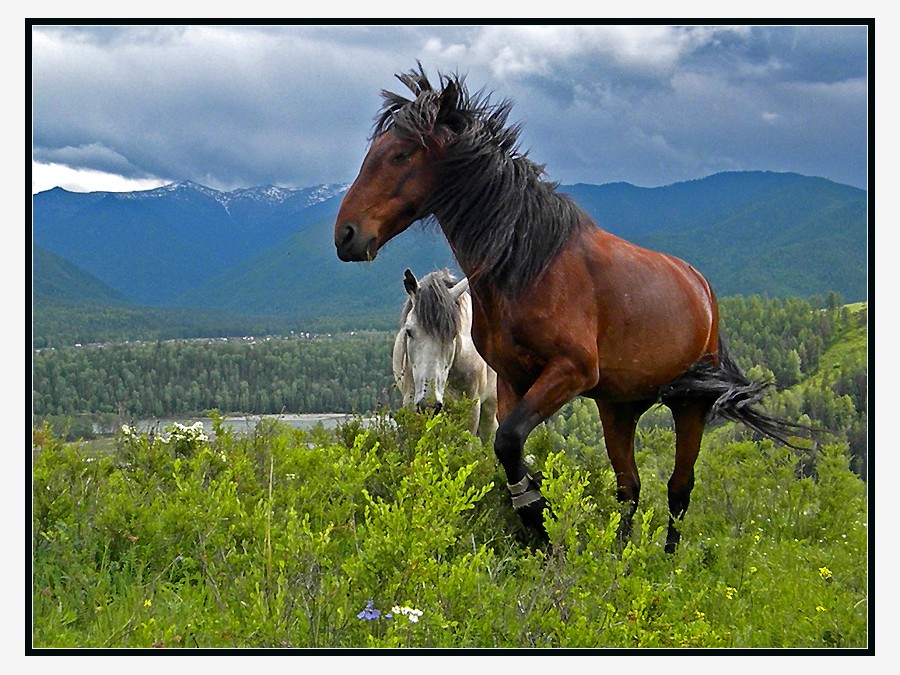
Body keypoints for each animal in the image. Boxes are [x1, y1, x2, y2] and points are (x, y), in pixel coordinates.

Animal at [394, 266, 500, 446]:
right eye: (408, 331)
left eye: (453, 334)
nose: (428, 404)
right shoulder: (411, 403)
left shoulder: (471, 409)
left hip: (489, 407)